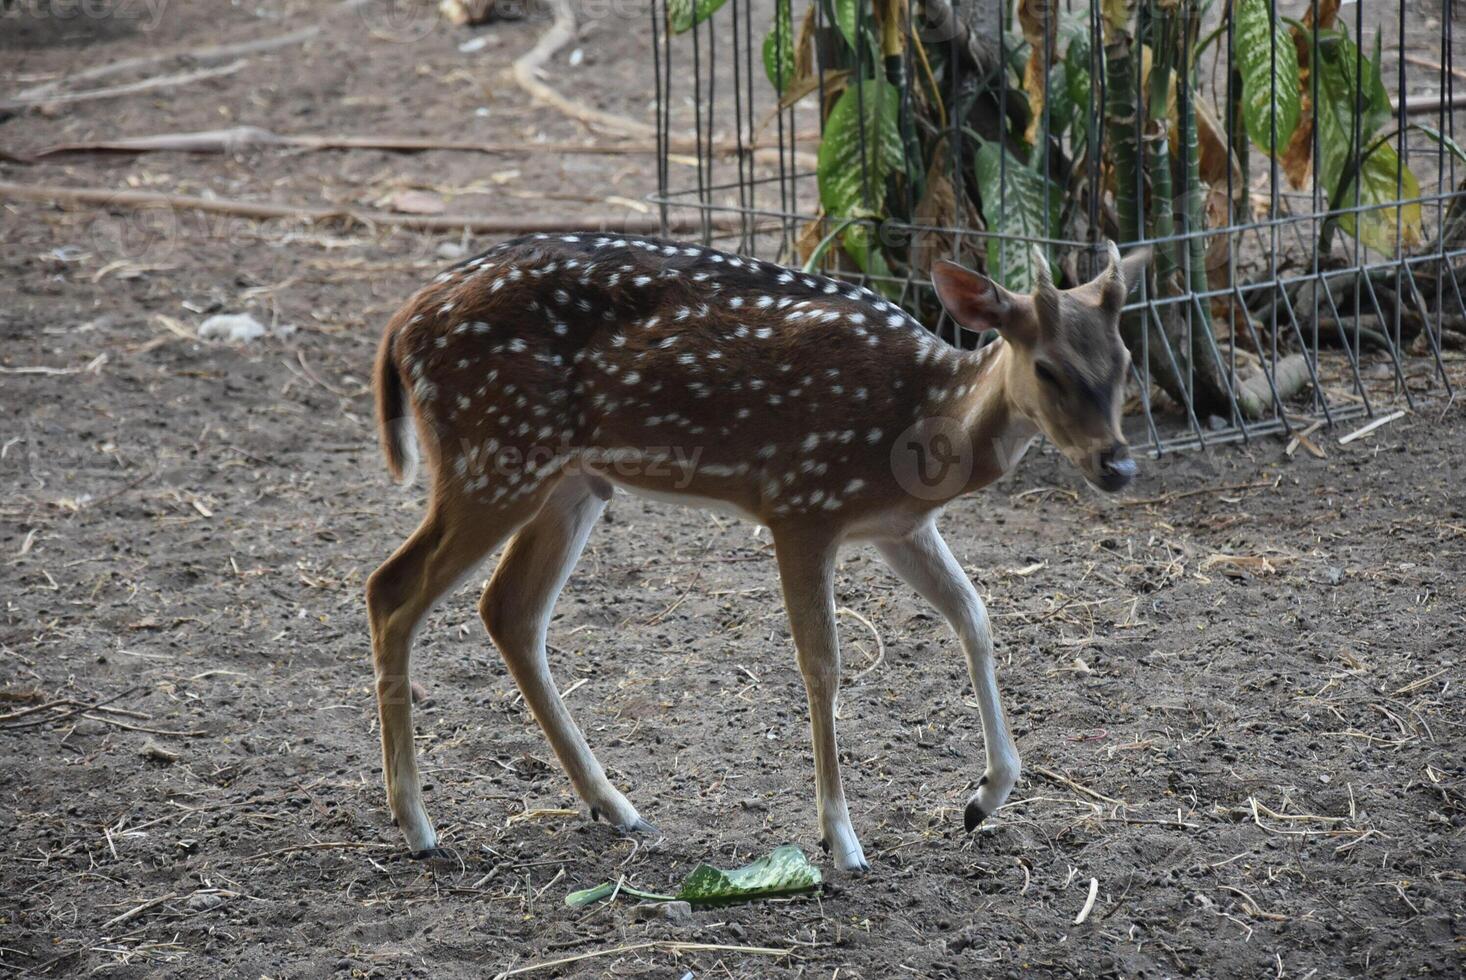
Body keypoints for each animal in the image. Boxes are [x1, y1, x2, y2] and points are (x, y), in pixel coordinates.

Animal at [366, 231, 1143, 874]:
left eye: (1126, 361)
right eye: (1048, 368)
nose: (1118, 464)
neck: (919, 425)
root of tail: (399, 326)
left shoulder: (898, 527)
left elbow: (976, 618)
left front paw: (981, 799)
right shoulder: (802, 504)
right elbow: (823, 665)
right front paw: (841, 840)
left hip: (569, 480)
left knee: (510, 610)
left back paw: (616, 807)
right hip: (495, 455)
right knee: (391, 588)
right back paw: (418, 826)